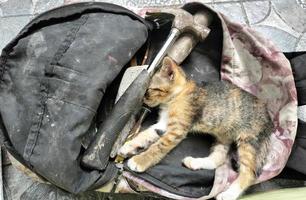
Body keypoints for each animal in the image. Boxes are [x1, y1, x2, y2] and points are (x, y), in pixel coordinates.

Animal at [119, 56, 272, 200]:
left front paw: (140, 160)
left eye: (149, 90)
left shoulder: (177, 130)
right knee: (218, 158)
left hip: (249, 142)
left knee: (249, 173)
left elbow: (158, 146)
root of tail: (269, 117)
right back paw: (194, 162)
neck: (177, 96)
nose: (143, 100)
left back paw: (229, 194)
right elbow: (144, 134)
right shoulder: (162, 126)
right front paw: (128, 145)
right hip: (223, 136)